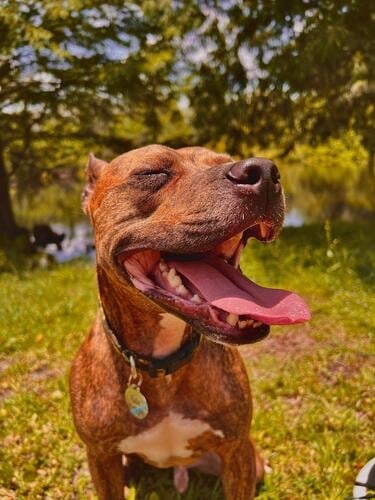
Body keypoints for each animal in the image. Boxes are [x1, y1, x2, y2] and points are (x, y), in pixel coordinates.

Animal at [70, 143, 312, 498]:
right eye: (152, 172)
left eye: (226, 161)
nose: (265, 171)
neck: (162, 365)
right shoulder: (100, 457)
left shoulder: (235, 450)